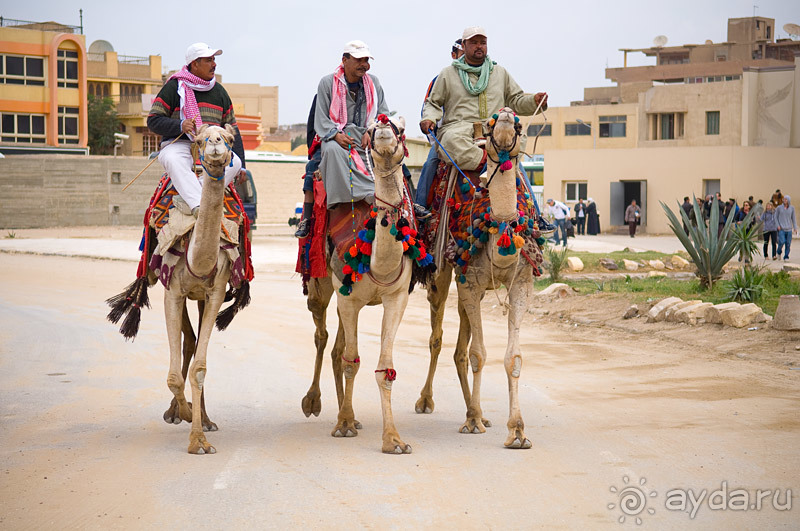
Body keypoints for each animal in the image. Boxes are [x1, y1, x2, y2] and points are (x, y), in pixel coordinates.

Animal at [300, 114, 428, 456]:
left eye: (400, 127)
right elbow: (351, 362)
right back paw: (314, 402)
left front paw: (394, 439)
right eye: (370, 130)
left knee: (336, 347)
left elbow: (385, 369)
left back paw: (352, 416)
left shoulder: (396, 297)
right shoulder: (349, 299)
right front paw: (343, 424)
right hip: (320, 283)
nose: (383, 126)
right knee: (322, 335)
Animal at [416, 108, 540, 448]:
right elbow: (478, 354)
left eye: (520, 124)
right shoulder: (469, 281)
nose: (507, 116)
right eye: (491, 123)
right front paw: (471, 421)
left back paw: (479, 412)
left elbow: (513, 358)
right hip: (443, 273)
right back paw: (429, 401)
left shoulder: (520, 284)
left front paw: (518, 431)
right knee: (437, 338)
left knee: (459, 345)